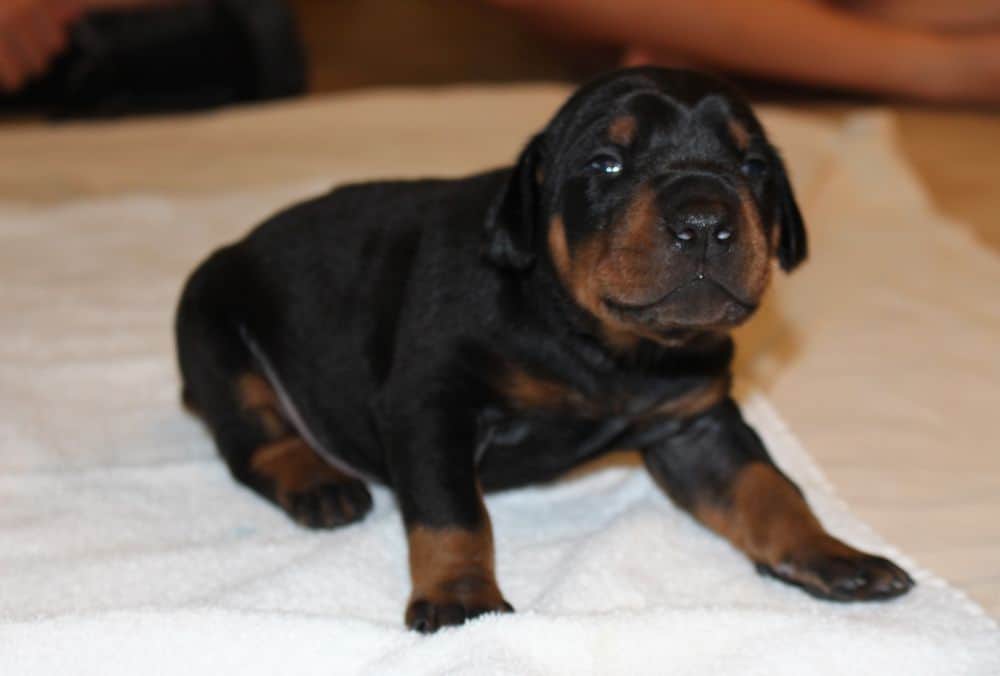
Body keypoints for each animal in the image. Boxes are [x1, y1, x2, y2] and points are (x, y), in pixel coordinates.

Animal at [174, 66, 916, 632]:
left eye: (753, 163)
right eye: (605, 164)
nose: (705, 219)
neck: (607, 347)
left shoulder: (696, 425)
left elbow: (767, 488)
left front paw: (830, 552)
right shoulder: (430, 403)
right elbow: (453, 513)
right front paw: (461, 596)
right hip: (210, 324)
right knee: (251, 437)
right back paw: (317, 482)